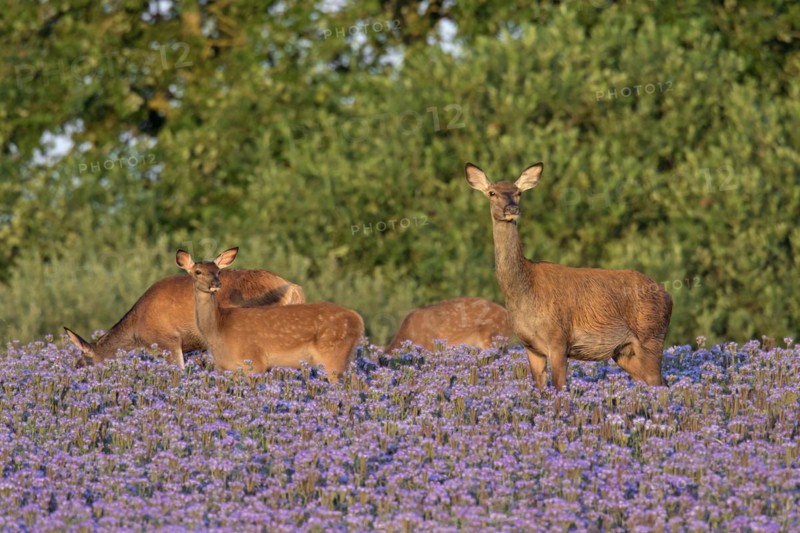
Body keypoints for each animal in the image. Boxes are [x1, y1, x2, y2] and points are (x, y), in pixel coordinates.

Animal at [176, 247, 364, 382]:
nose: (215, 283)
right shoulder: (225, 367)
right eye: (198, 271)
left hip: (332, 354)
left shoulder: (254, 361)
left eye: (218, 271)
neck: (218, 328)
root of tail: (358, 319)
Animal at [465, 161, 672, 389]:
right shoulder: (530, 347)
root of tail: (668, 295)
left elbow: (558, 388)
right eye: (492, 192)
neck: (524, 289)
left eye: (518, 192)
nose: (511, 209)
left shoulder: (558, 339)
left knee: (659, 384)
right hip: (624, 352)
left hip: (651, 336)